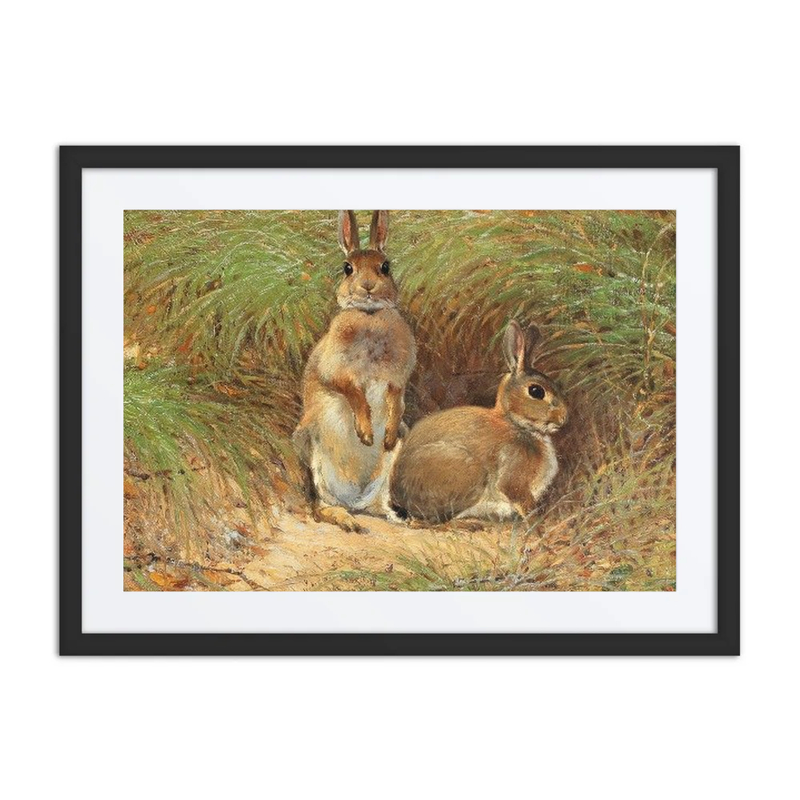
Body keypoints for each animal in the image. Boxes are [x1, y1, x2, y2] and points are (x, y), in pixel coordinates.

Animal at [292, 210, 416, 532]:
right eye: (347, 268)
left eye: (385, 266)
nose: (368, 286)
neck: (369, 316)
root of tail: (355, 499)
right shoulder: (335, 371)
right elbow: (354, 392)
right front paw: (365, 434)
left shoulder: (397, 379)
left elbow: (396, 400)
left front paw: (384, 436)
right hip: (314, 453)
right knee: (319, 506)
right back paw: (346, 520)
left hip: (390, 464)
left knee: (379, 503)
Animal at [390, 320, 567, 523]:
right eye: (536, 391)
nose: (563, 418)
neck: (515, 423)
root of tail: (398, 497)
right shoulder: (513, 476)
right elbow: (520, 499)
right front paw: (536, 521)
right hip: (470, 474)